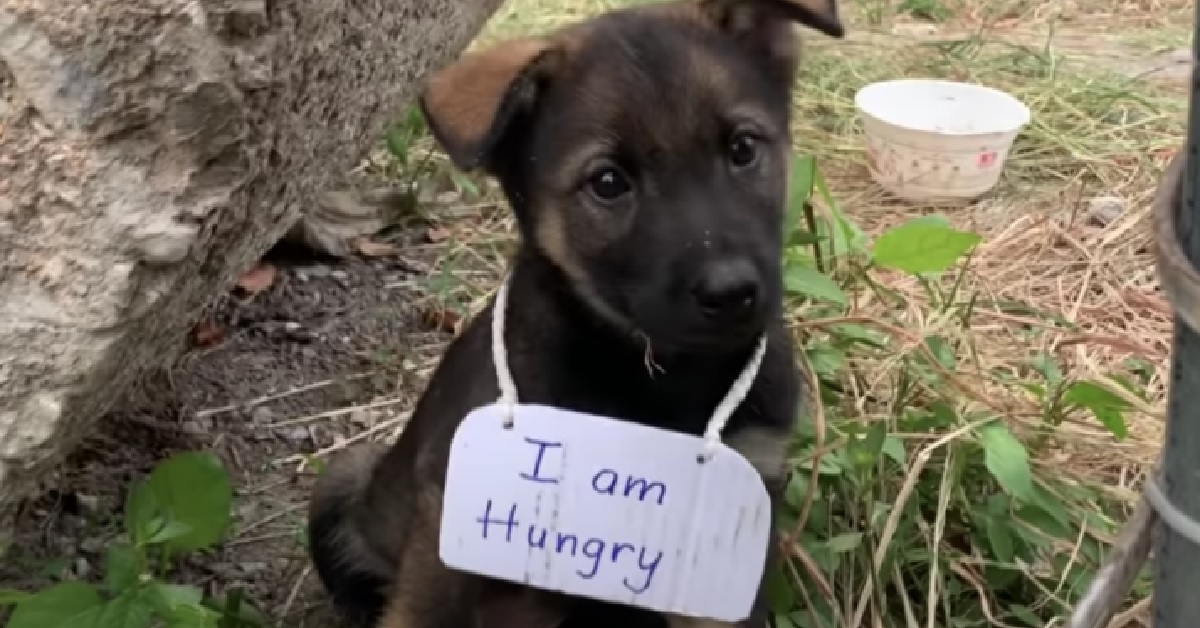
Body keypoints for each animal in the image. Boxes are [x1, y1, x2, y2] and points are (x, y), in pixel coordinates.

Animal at [309, 0, 844, 624]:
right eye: (608, 182)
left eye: (742, 149)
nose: (732, 292)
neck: (657, 378)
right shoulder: (451, 525)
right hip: (345, 478)